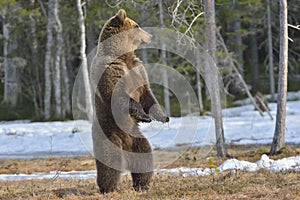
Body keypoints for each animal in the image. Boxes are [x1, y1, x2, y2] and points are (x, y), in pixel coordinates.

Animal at [90, 8, 169, 194]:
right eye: (137, 26)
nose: (150, 36)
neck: (122, 55)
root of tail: (125, 143)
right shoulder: (109, 69)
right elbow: (118, 95)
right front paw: (144, 116)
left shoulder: (138, 69)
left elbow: (148, 94)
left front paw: (162, 116)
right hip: (108, 132)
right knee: (109, 162)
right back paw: (107, 187)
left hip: (136, 137)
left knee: (144, 155)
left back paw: (142, 184)